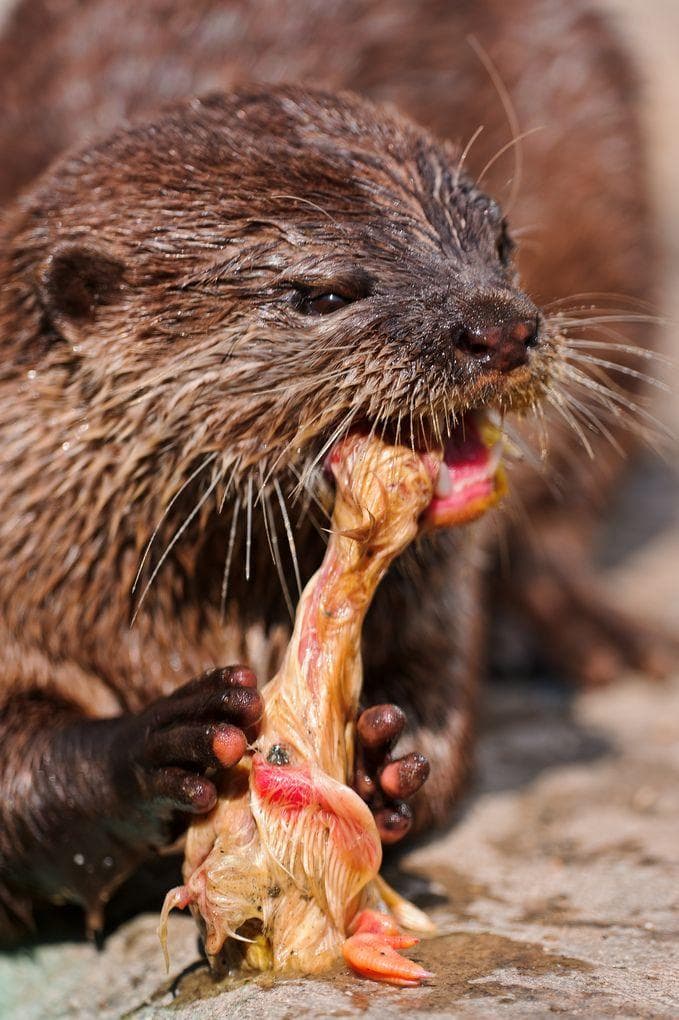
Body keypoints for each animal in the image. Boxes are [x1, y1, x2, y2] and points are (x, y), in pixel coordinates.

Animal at [0, 0, 663, 941]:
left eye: (499, 243)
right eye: (322, 293)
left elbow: (442, 694)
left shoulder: (437, 596)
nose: (498, 324)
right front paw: (163, 741)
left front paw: (381, 754)